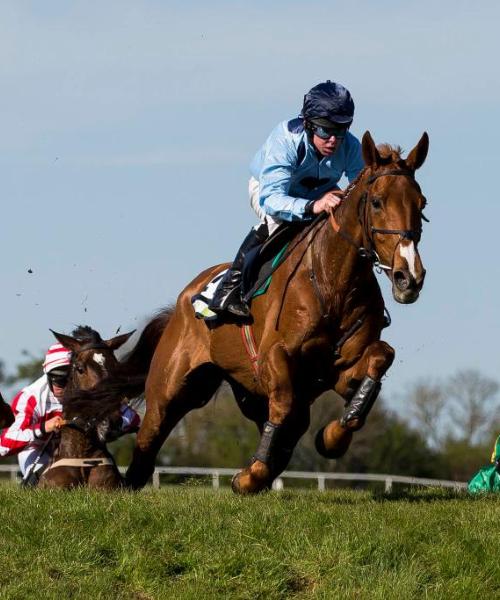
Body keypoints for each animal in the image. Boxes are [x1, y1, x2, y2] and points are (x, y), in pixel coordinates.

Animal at [126, 131, 430, 492]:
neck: (332, 282)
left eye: (422, 204)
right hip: (172, 387)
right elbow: (282, 404)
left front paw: (331, 438)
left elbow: (380, 358)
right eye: (377, 202)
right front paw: (249, 475)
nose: (409, 276)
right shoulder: (274, 357)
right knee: (151, 432)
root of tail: (183, 300)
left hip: (245, 391)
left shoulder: (337, 370)